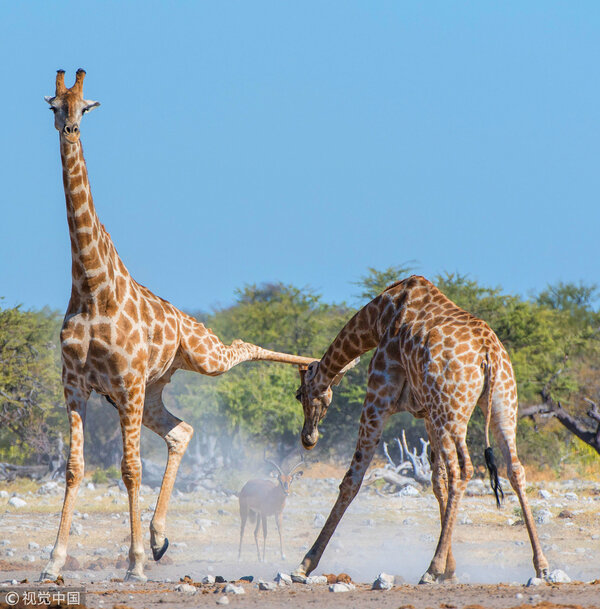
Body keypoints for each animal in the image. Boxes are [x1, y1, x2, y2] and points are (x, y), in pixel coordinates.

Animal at [41, 69, 314, 580]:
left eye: (84, 106)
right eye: (54, 105)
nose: (69, 130)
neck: (90, 287)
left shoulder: (125, 383)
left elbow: (129, 470)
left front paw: (134, 564)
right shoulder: (76, 386)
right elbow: (74, 469)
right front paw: (54, 563)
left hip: (196, 360)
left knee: (240, 347)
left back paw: (311, 364)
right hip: (152, 390)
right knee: (181, 431)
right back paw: (159, 536)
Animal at [292, 274, 552, 580]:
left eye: (299, 395)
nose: (308, 438)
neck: (378, 318)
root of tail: (490, 355)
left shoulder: (377, 397)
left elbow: (351, 480)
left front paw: (305, 564)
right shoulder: (428, 413)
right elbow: (437, 481)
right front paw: (451, 569)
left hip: (452, 412)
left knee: (463, 469)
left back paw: (431, 568)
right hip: (502, 406)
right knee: (514, 469)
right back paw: (541, 565)